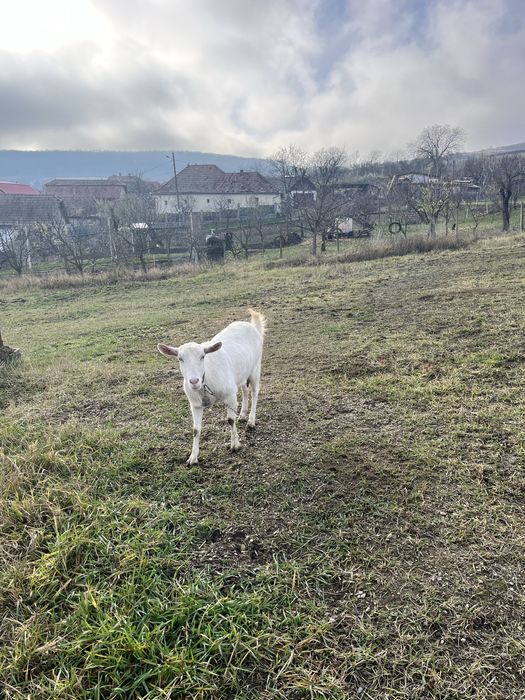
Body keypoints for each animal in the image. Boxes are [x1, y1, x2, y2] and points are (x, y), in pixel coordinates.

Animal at [158, 309, 266, 465]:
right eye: (180, 359)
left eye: (203, 356)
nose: (194, 381)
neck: (206, 381)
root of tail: (252, 325)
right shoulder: (195, 404)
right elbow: (196, 429)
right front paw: (193, 457)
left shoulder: (229, 394)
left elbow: (230, 420)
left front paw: (235, 445)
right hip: (240, 374)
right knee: (245, 391)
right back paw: (243, 415)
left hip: (255, 368)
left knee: (255, 392)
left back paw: (251, 421)